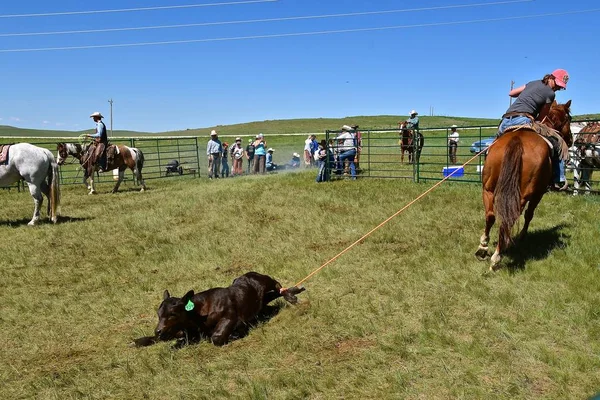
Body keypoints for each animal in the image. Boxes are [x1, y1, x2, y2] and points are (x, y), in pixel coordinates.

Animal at [135, 272, 304, 346]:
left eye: (172, 314)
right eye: (158, 314)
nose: (158, 330)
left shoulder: (230, 317)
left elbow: (216, 337)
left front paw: (235, 334)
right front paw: (138, 341)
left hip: (264, 281)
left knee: (277, 284)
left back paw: (291, 295)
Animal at [476, 100, 576, 270]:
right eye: (569, 119)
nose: (570, 140)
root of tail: (517, 139)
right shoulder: (538, 194)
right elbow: (529, 214)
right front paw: (522, 236)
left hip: (488, 189)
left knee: (490, 216)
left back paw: (483, 247)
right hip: (523, 195)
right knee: (509, 220)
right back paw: (497, 257)